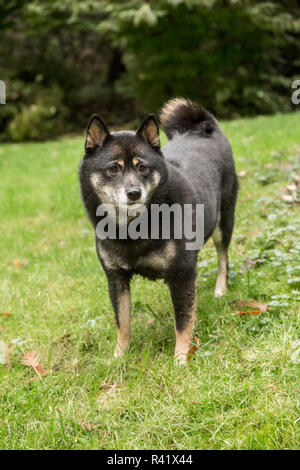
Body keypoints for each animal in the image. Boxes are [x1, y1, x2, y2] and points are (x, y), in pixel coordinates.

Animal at [78, 98, 238, 364]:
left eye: (143, 168)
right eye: (113, 169)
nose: (134, 193)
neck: (134, 228)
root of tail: (204, 128)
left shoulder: (182, 273)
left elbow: (183, 322)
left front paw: (180, 360)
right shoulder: (116, 278)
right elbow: (123, 323)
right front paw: (119, 356)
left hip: (223, 222)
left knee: (223, 258)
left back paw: (220, 289)